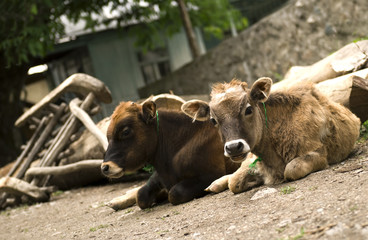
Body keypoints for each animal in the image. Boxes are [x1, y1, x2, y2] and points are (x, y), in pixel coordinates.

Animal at [100, 101, 239, 208]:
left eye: (126, 131)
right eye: (108, 136)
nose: (105, 167)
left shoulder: (211, 174)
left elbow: (174, 193)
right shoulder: (160, 175)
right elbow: (141, 195)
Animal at [183, 78, 360, 194]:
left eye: (248, 109)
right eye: (213, 120)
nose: (234, 147)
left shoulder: (319, 153)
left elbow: (292, 169)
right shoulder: (254, 161)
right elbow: (234, 182)